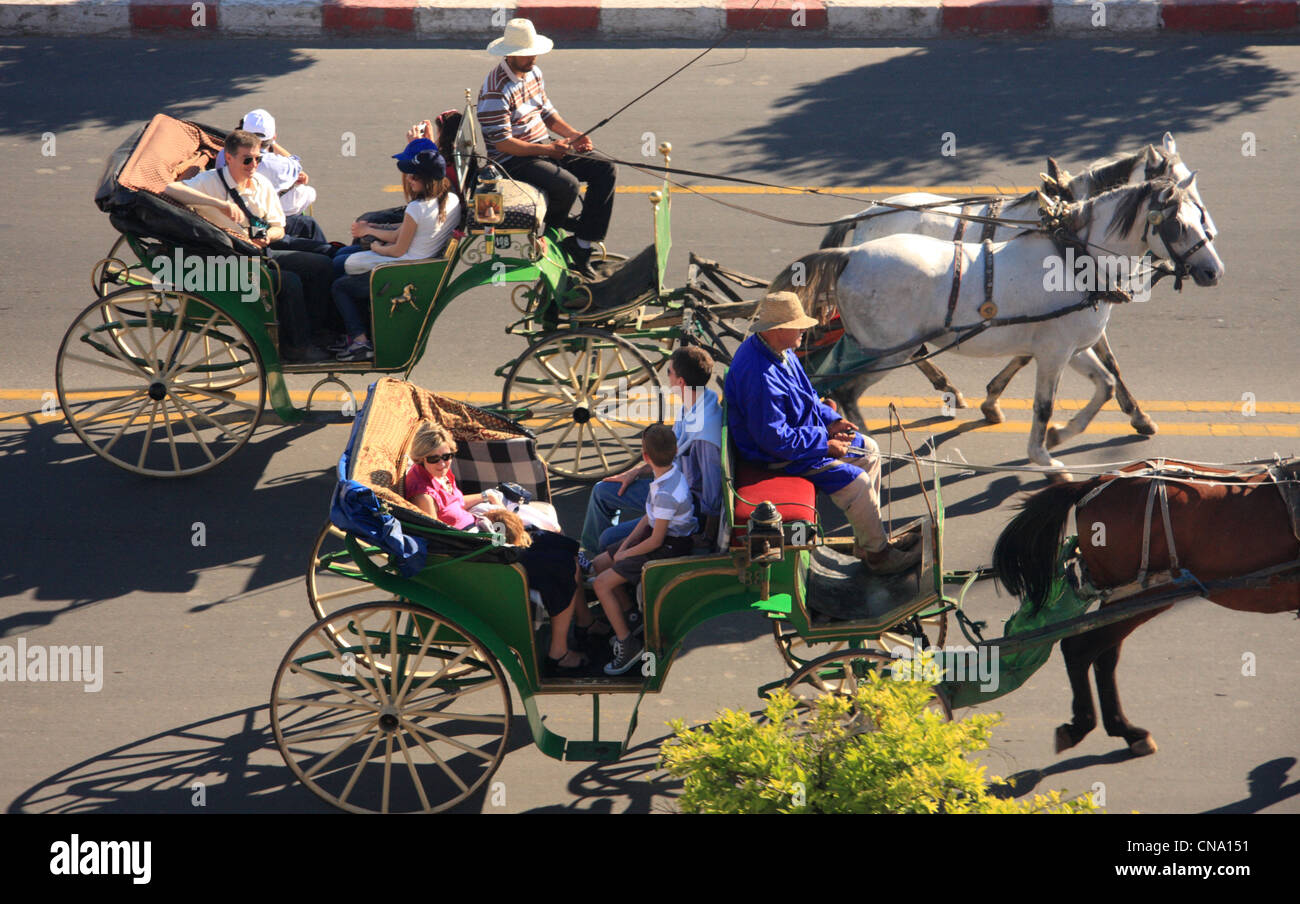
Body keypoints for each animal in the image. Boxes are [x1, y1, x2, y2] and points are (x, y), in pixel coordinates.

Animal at [774, 172, 1222, 478]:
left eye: (1202, 216)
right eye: (1179, 225)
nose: (1213, 271)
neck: (1074, 259)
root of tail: (850, 253)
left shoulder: (1071, 348)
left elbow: (1106, 384)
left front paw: (1060, 435)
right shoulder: (1054, 352)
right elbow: (1045, 405)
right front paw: (1045, 459)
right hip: (887, 352)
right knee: (846, 391)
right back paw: (872, 450)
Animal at [816, 132, 1211, 439]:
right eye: (1181, 195)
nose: (1209, 248)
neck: (1064, 229)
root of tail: (863, 216)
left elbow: (1102, 361)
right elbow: (1066, 359)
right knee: (907, 352)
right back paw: (944, 388)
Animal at [987, 460, 1294, 754]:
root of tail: (1098, 481)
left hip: (1125, 596)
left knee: (1102, 655)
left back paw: (1124, 730)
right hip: (1147, 594)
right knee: (1080, 649)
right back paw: (1086, 727)